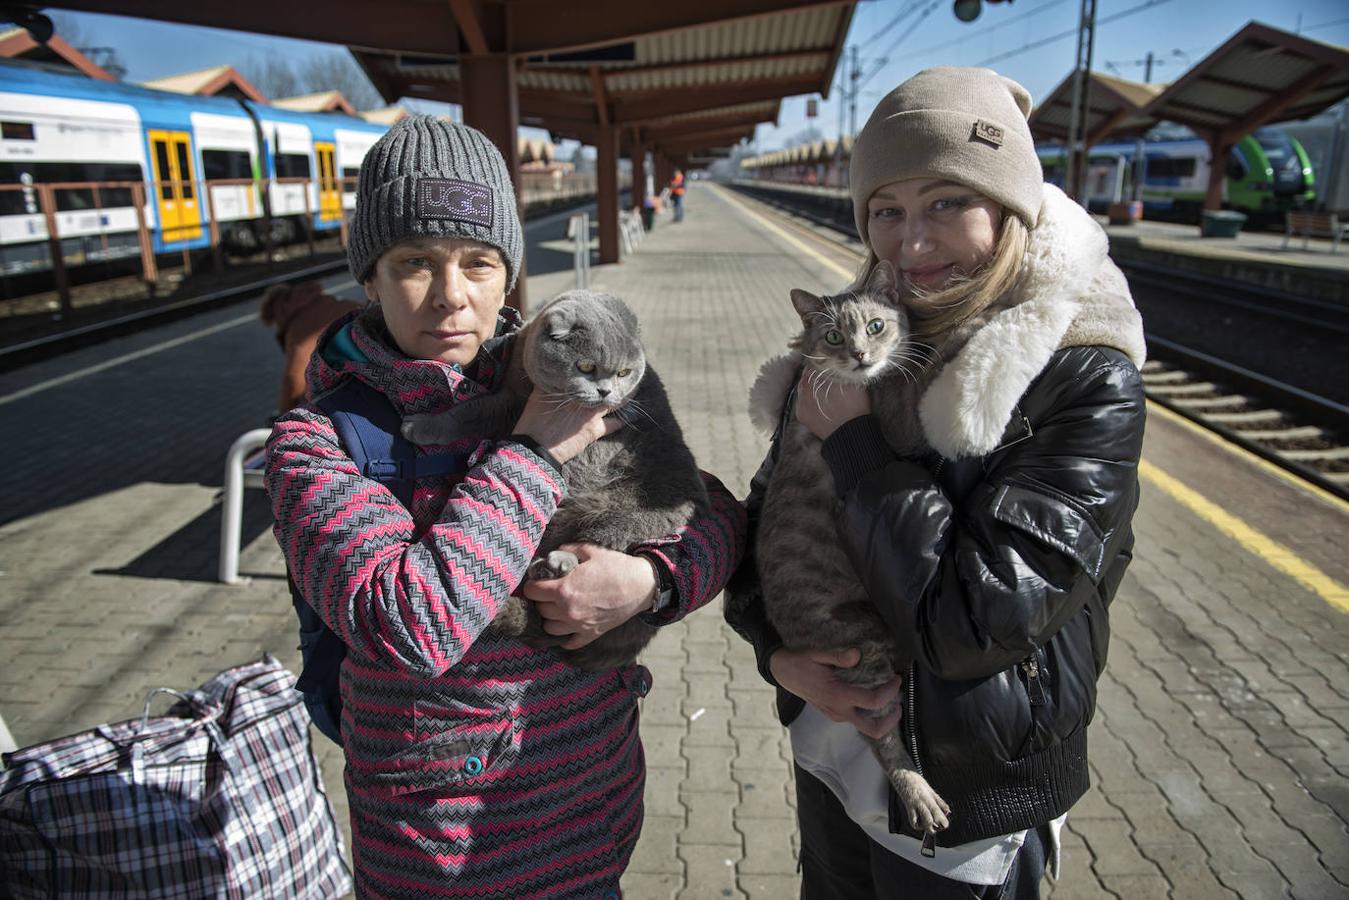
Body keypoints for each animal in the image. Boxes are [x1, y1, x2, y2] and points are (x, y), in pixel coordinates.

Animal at [744, 264, 955, 841]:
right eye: (834, 336)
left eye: (876, 325)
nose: (860, 355)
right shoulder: (901, 426)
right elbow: (922, 378)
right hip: (867, 645)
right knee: (881, 737)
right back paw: (920, 794)